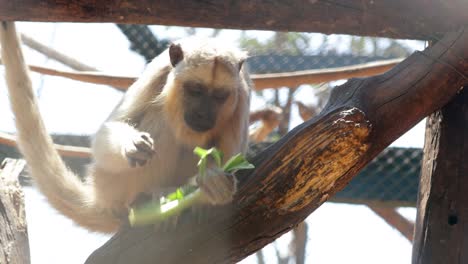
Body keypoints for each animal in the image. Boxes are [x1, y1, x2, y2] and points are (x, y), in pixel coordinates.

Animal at [0, 22, 252, 233]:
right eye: (195, 90)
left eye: (220, 96)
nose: (202, 114)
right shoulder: (159, 70)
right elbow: (111, 129)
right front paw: (130, 145)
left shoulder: (242, 93)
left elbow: (232, 160)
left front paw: (211, 181)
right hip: (110, 183)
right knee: (159, 120)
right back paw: (150, 197)